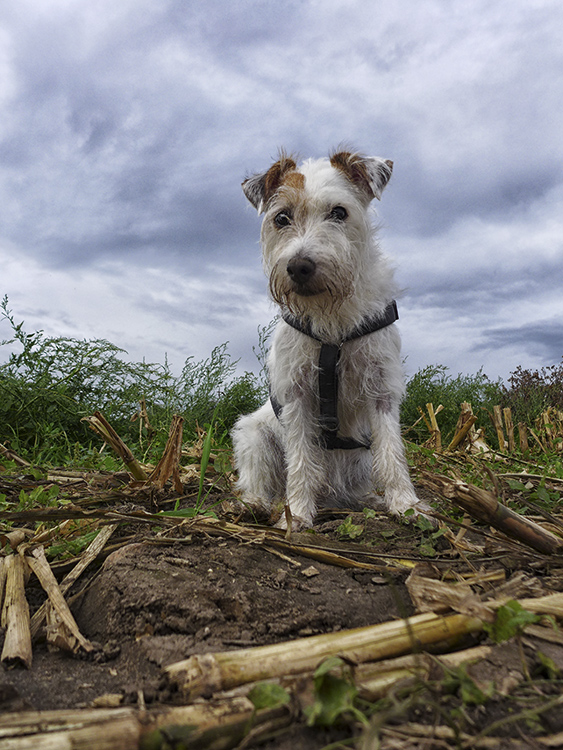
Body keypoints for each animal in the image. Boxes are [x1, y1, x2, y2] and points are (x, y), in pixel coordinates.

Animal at [232, 151, 424, 528]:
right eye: (281, 217)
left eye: (339, 212)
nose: (298, 267)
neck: (333, 322)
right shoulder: (296, 396)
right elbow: (301, 462)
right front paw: (297, 513)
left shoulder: (382, 390)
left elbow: (392, 452)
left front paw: (406, 504)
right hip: (254, 436)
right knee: (260, 480)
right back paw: (256, 504)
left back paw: (368, 498)